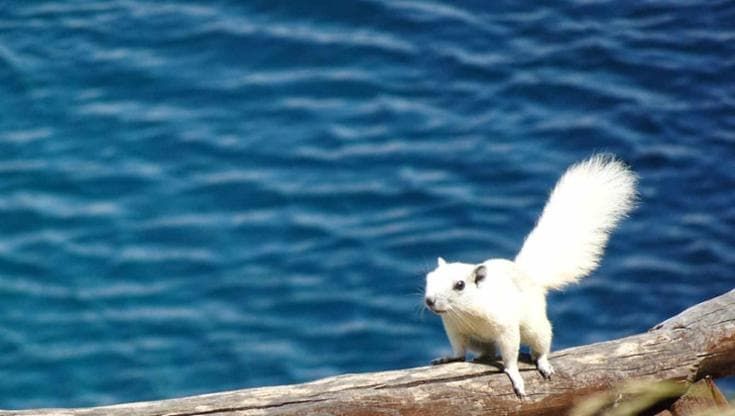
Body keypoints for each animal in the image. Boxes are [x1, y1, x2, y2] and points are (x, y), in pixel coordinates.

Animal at [424, 154, 637, 398]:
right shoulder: (454, 330)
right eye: (429, 278)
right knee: (485, 352)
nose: (429, 301)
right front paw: (447, 358)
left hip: (537, 327)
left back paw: (543, 363)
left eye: (460, 285)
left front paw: (515, 377)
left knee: (540, 347)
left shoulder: (506, 328)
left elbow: (510, 356)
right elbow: (458, 352)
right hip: (482, 341)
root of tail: (529, 275)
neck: (466, 313)